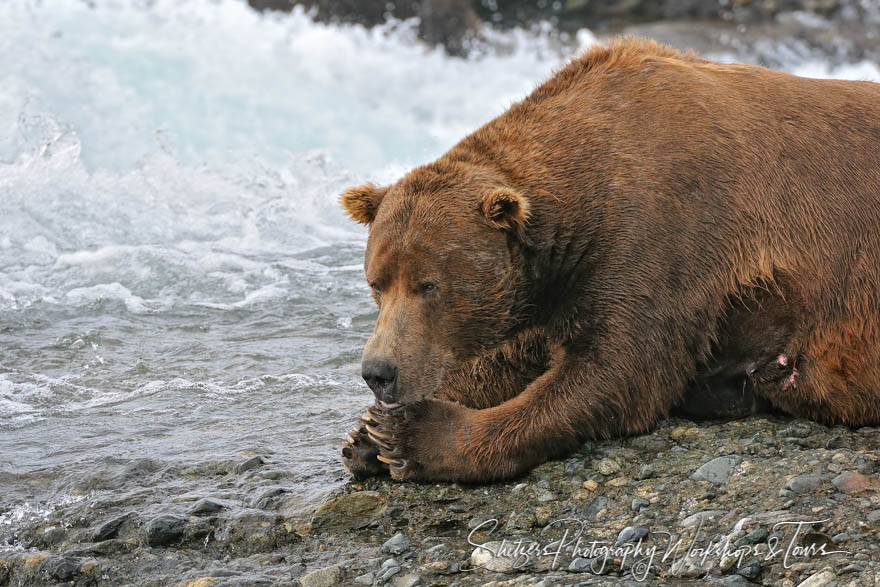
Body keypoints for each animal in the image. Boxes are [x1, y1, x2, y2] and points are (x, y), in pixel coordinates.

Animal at [336, 39, 880, 484]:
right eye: (377, 283)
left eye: (429, 285)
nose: (379, 372)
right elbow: (519, 355)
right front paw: (365, 435)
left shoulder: (664, 233)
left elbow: (614, 370)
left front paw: (412, 436)